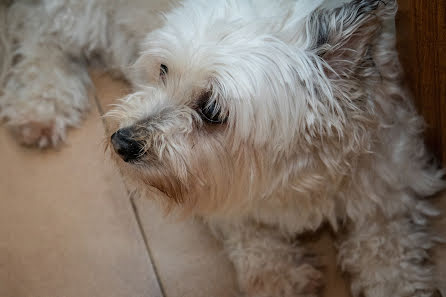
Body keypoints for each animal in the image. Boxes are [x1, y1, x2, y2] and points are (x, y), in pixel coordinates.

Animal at [0, 0, 446, 296]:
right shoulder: (221, 192)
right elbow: (252, 234)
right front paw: (278, 275)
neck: (292, 178)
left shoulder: (391, 184)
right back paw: (40, 104)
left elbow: (388, 252)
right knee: (39, 32)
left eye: (212, 109)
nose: (122, 141)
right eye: (164, 69)